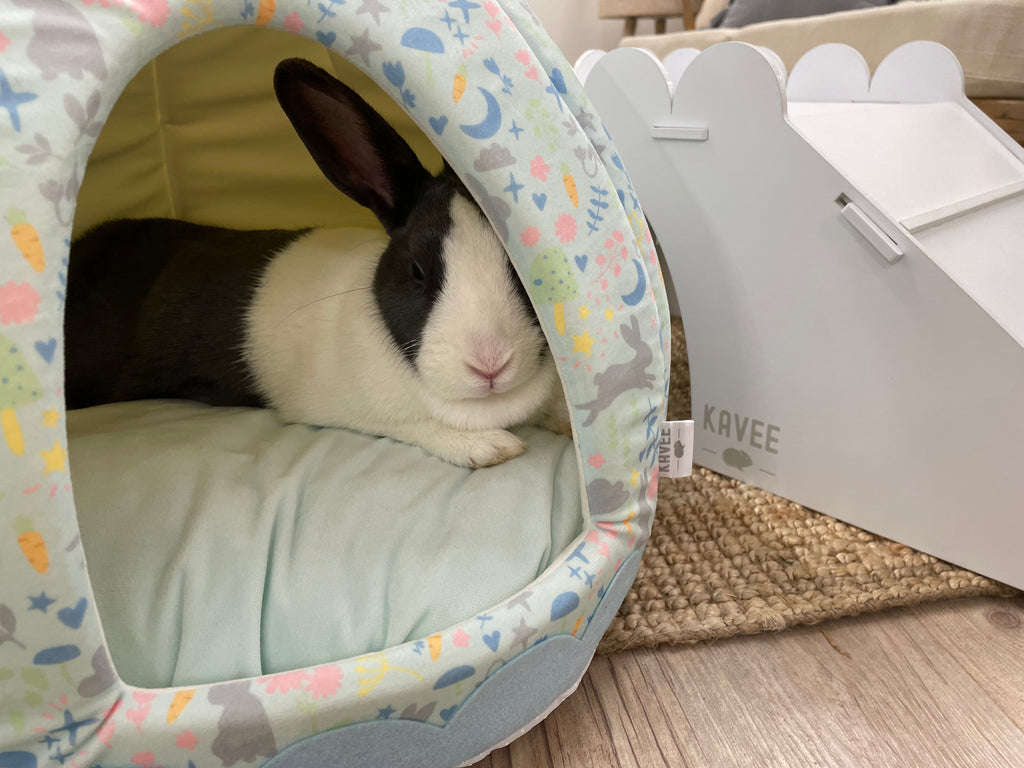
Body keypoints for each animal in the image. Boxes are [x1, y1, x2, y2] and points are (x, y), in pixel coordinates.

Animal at [66, 57, 569, 466]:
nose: (490, 364)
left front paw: (563, 417)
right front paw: (489, 447)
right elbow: (418, 425)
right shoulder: (345, 408)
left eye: (520, 270)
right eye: (416, 271)